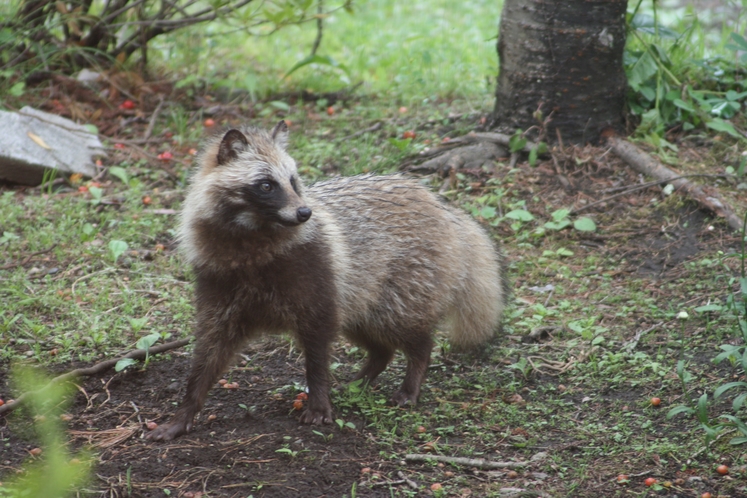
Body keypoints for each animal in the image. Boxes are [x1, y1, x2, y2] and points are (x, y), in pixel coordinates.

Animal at [148, 120, 508, 440]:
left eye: (294, 181)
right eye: (266, 184)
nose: (305, 213)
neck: (253, 236)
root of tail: (443, 207)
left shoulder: (315, 276)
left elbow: (318, 350)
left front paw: (319, 399)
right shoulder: (219, 284)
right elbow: (209, 350)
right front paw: (186, 409)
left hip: (404, 282)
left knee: (411, 333)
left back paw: (413, 374)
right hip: (362, 298)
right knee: (377, 343)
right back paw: (365, 375)